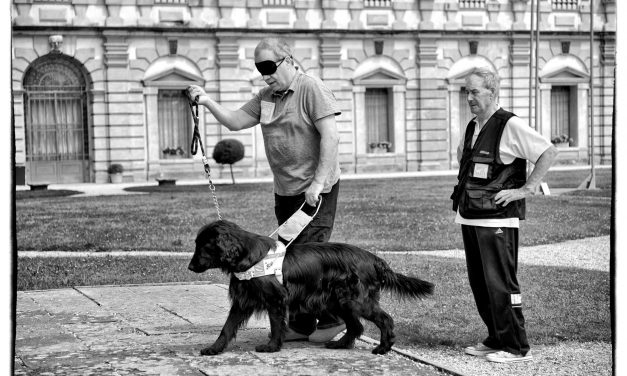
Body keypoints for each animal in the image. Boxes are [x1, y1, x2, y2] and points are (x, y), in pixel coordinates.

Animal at [189, 220, 434, 356]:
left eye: (204, 245)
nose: (190, 267)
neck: (248, 257)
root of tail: (374, 259)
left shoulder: (277, 299)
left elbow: (276, 326)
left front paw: (271, 347)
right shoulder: (242, 301)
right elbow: (227, 328)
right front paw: (214, 349)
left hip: (355, 300)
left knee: (385, 319)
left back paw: (383, 348)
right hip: (340, 301)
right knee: (356, 327)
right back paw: (340, 345)